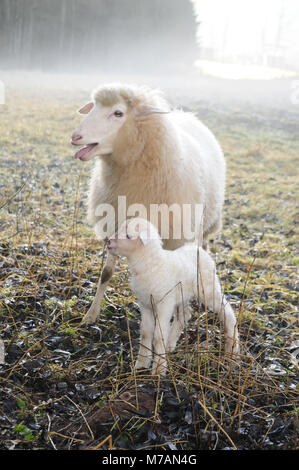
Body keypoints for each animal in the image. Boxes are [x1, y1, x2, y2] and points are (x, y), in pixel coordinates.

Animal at [71, 82, 226, 324]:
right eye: (93, 106)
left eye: (118, 113)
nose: (75, 136)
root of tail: (187, 115)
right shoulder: (117, 223)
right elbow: (106, 274)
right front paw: (91, 314)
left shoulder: (175, 234)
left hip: (207, 219)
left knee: (202, 247)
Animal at [106, 218, 240, 376]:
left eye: (128, 236)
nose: (109, 242)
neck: (150, 263)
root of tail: (197, 248)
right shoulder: (145, 304)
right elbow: (145, 333)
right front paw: (142, 363)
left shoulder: (165, 303)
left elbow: (158, 337)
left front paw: (159, 369)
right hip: (183, 294)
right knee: (185, 314)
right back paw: (170, 344)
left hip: (208, 288)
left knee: (227, 312)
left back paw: (232, 348)